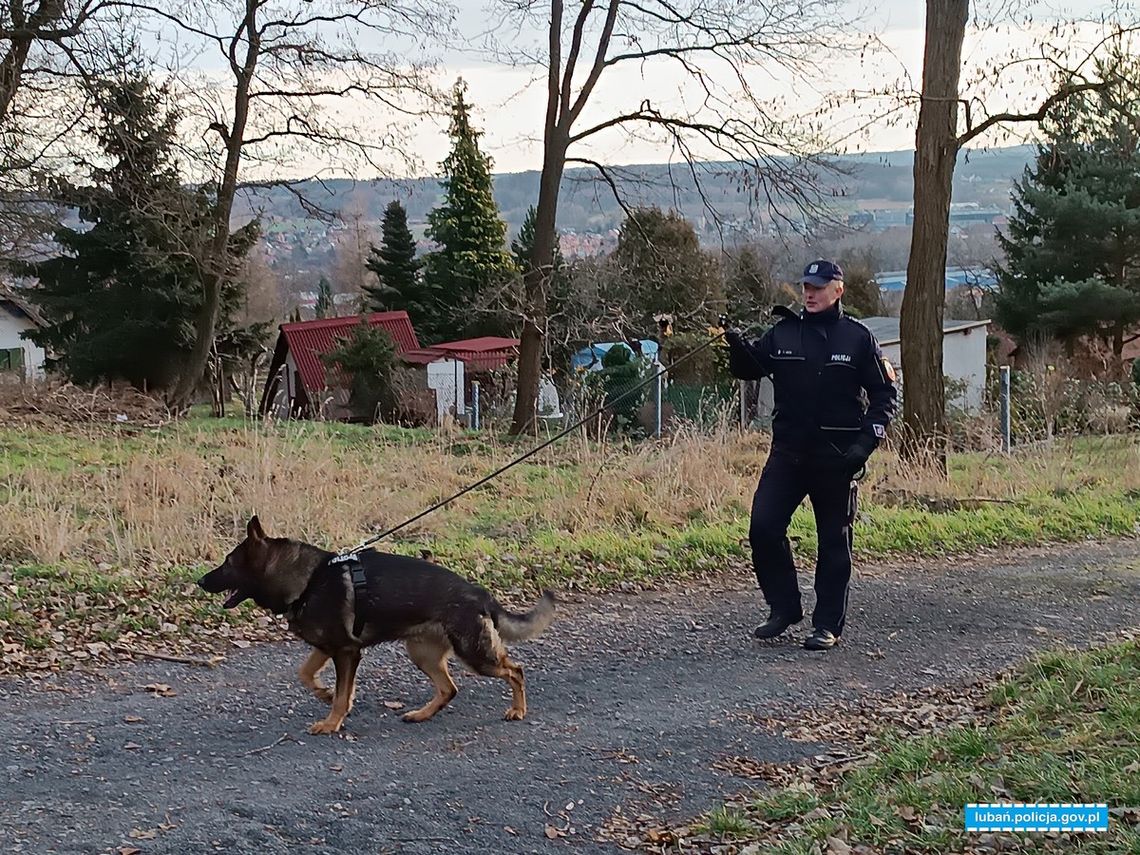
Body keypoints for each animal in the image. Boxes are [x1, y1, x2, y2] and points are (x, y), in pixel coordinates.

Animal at [198, 515, 558, 738]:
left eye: (227, 563)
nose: (200, 581)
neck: (308, 580)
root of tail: (481, 593)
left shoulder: (347, 652)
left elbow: (341, 694)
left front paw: (332, 721)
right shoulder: (327, 648)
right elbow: (306, 674)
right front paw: (325, 693)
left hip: (475, 654)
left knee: (515, 670)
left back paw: (518, 709)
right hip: (422, 654)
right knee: (449, 688)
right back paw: (421, 714)